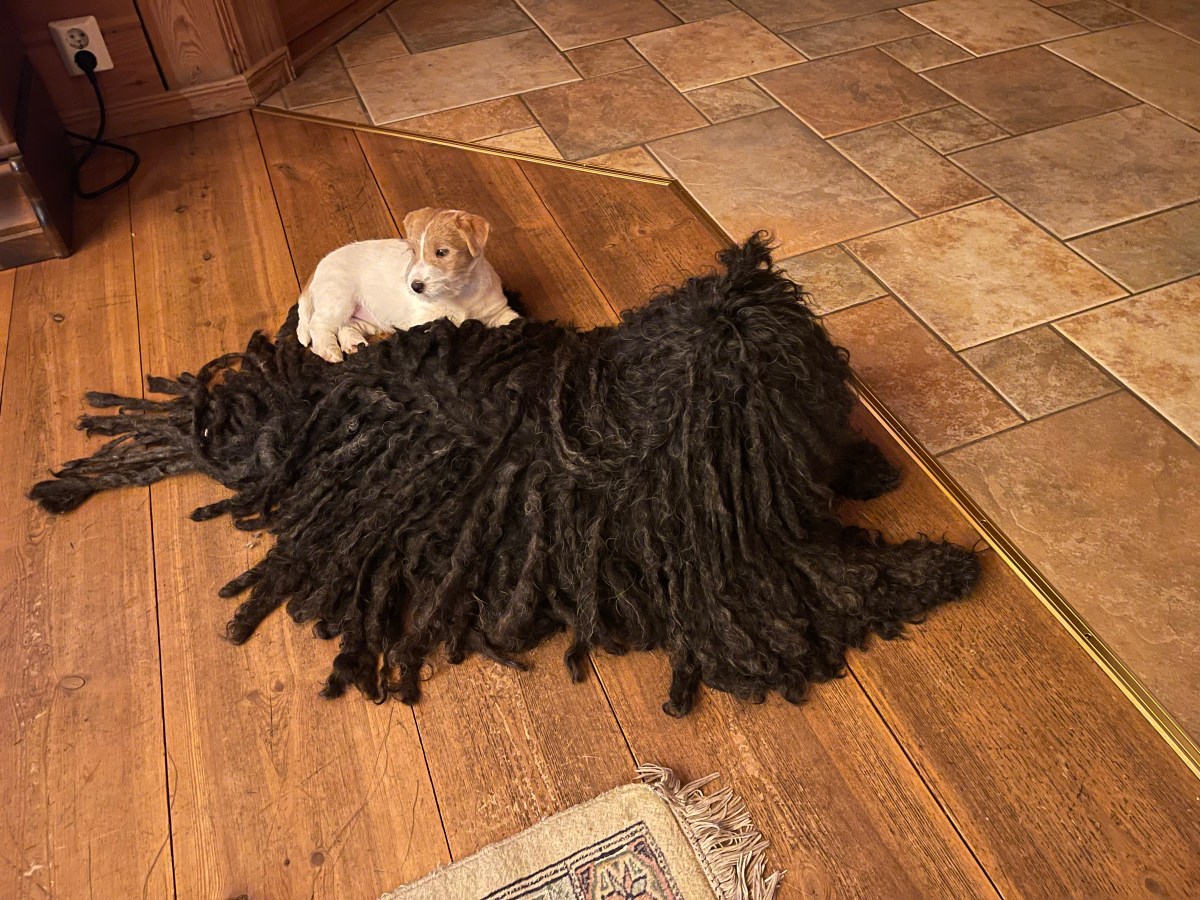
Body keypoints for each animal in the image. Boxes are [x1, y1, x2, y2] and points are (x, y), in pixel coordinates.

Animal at [296, 207, 518, 362]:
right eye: (413, 251)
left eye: (441, 252)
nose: (415, 287)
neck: (458, 293)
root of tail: (320, 265)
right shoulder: (424, 320)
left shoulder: (497, 311)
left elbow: (513, 319)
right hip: (339, 300)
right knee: (318, 325)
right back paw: (329, 350)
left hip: (366, 318)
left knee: (346, 326)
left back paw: (353, 343)